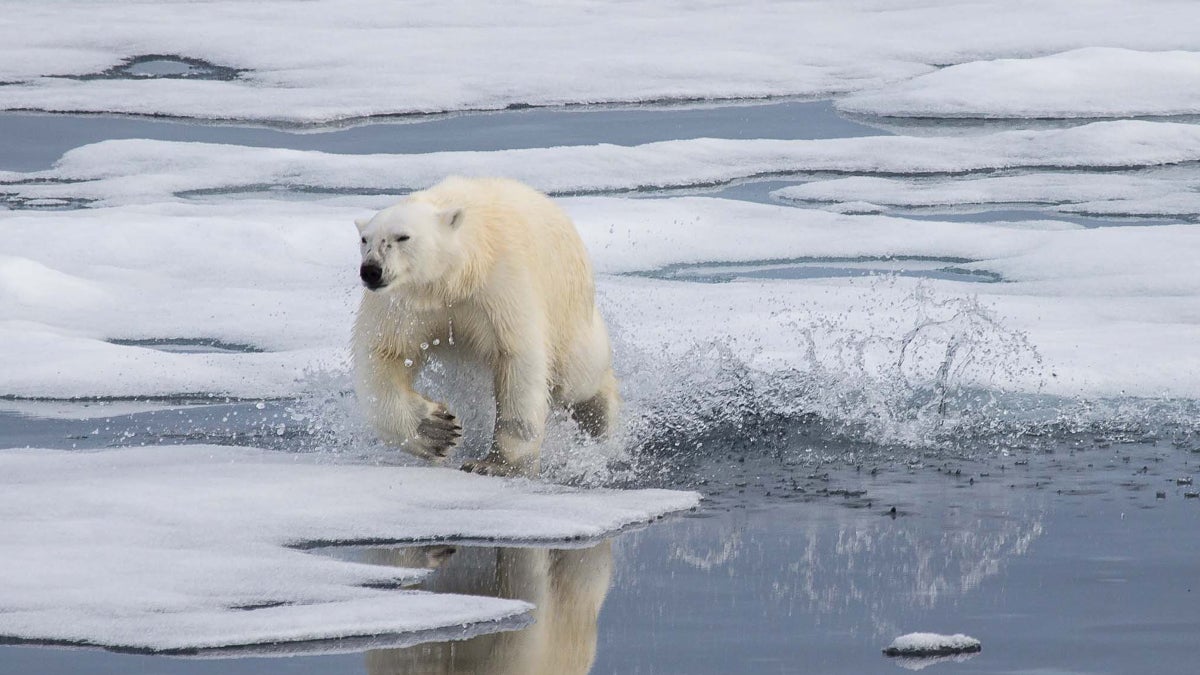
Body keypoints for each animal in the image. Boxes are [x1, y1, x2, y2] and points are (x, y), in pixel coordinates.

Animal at [350, 176, 619, 475]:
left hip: (568, 310)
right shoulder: (403, 305)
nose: (371, 270)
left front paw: (496, 464)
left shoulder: (500, 287)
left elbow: (518, 357)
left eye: (402, 237)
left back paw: (601, 419)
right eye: (365, 239)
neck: (454, 279)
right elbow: (384, 354)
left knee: (577, 375)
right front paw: (437, 430)